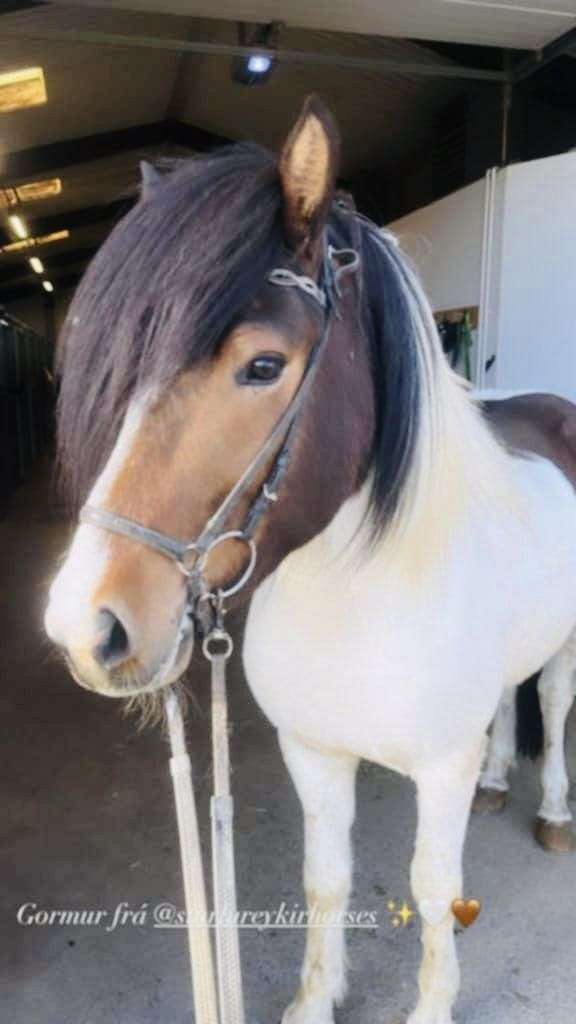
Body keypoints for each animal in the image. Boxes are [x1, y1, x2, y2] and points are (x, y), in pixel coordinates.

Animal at [44, 96, 576, 1024]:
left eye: (263, 365)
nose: (85, 627)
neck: (358, 600)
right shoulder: (314, 754)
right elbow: (324, 878)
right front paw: (314, 1000)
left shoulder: (437, 770)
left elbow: (432, 890)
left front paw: (431, 1007)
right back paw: (499, 781)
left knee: (550, 695)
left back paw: (549, 812)